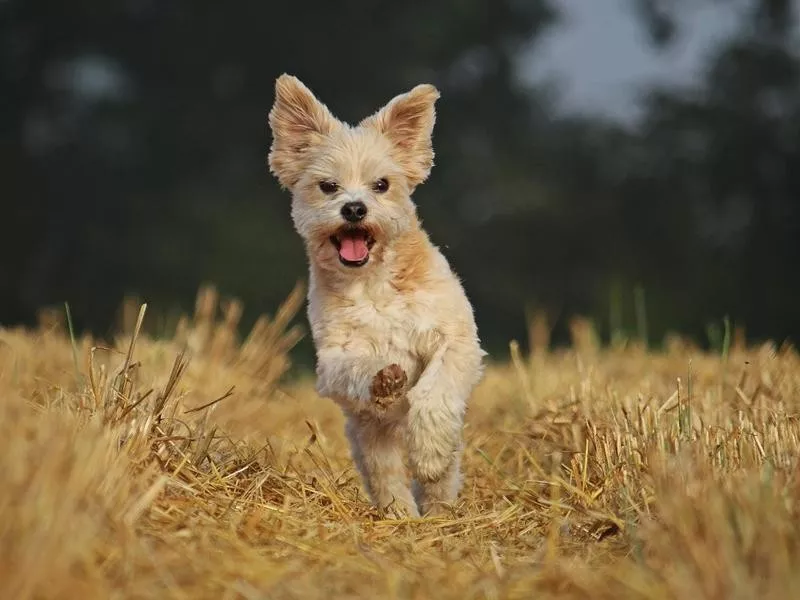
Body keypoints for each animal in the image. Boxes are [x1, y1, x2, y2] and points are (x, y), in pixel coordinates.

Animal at [266, 74, 484, 516]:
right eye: (328, 186)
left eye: (381, 185)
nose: (353, 208)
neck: (373, 280)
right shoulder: (334, 360)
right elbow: (358, 367)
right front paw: (384, 379)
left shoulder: (456, 341)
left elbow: (435, 391)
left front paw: (429, 452)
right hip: (369, 435)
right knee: (386, 475)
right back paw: (401, 514)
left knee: (440, 474)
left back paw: (439, 507)